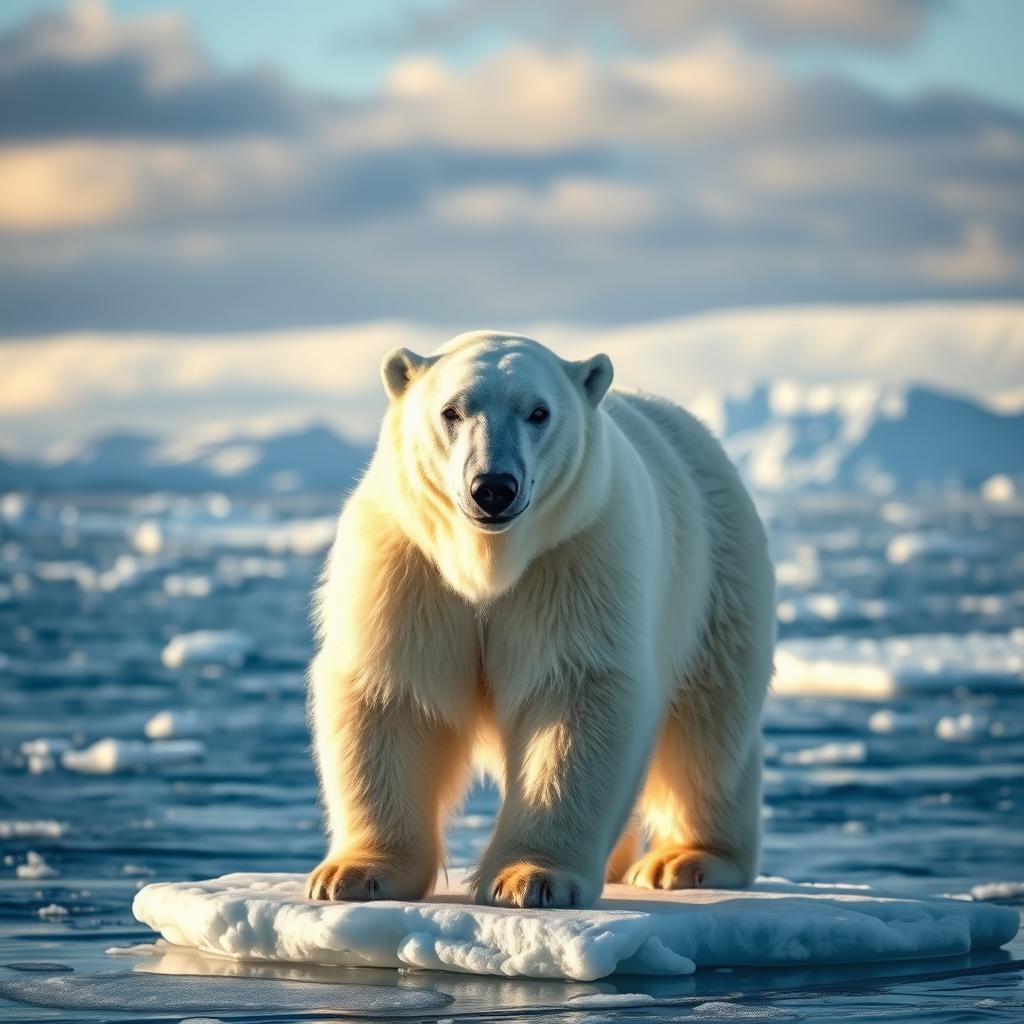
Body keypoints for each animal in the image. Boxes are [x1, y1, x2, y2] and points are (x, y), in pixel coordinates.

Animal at [307, 331, 770, 909]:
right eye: (452, 411)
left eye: (538, 411)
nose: (493, 487)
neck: (489, 562)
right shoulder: (408, 566)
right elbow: (392, 692)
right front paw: (351, 875)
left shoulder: (575, 555)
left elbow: (575, 696)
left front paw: (531, 879)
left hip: (716, 576)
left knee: (707, 732)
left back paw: (685, 861)